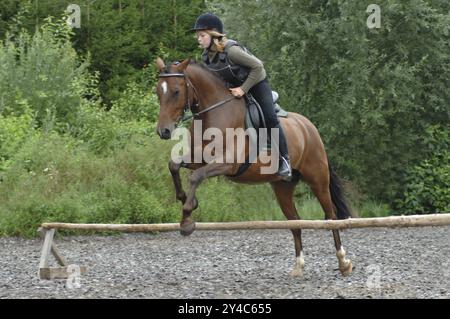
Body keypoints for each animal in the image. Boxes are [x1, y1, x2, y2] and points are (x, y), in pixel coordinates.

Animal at [156, 57, 354, 278]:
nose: (163, 131)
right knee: (295, 222)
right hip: (282, 187)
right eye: (158, 92)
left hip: (317, 179)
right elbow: (174, 165)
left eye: (176, 91)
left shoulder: (228, 163)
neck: (215, 113)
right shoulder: (199, 157)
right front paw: (185, 200)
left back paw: (343, 262)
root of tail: (309, 126)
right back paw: (298, 265)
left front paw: (187, 219)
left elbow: (196, 176)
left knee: (331, 217)